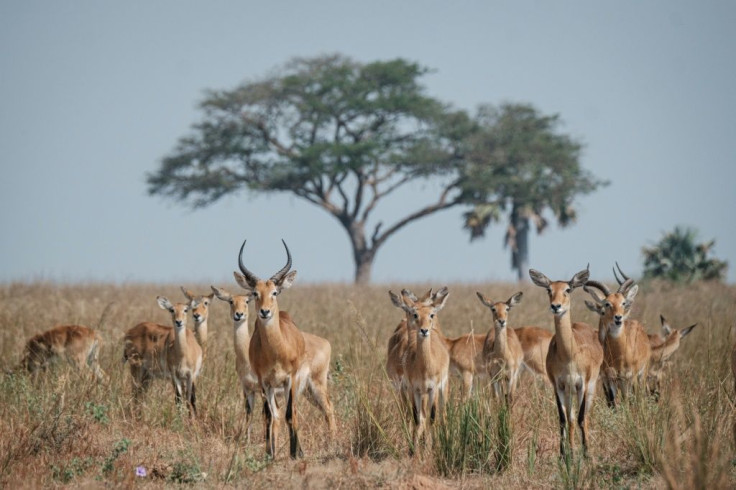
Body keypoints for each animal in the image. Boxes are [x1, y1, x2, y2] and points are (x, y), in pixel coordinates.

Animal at [388, 288, 452, 456]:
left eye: (431, 314)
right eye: (415, 314)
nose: (424, 330)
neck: (424, 368)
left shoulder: (432, 389)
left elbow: (432, 417)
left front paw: (429, 448)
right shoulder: (413, 389)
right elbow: (417, 416)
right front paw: (415, 449)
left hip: (443, 388)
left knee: (443, 414)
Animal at [528, 266, 604, 458]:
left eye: (568, 289)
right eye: (549, 289)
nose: (556, 306)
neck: (569, 355)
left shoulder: (582, 384)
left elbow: (581, 418)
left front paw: (586, 453)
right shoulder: (559, 385)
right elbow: (563, 419)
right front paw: (564, 455)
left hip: (589, 389)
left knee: (585, 417)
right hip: (570, 392)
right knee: (570, 418)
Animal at [584, 264, 648, 410]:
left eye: (623, 303)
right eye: (607, 304)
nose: (618, 318)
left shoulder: (628, 379)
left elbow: (628, 403)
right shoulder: (609, 380)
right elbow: (613, 404)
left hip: (641, 376)